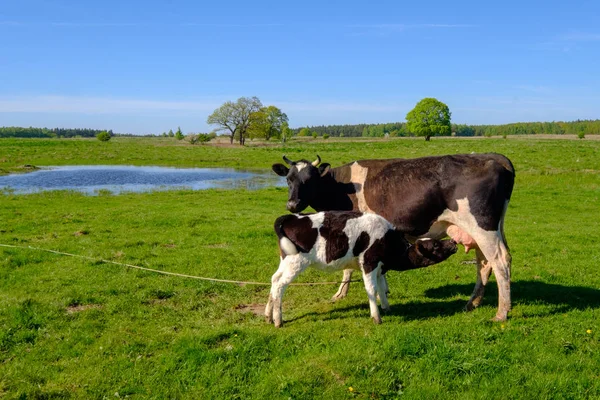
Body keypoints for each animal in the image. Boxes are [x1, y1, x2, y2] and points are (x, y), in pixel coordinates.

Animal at [264, 211, 458, 326]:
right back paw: (278, 320)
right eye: (435, 246)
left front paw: (386, 308)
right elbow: (371, 289)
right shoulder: (369, 262)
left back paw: (268, 315)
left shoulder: (380, 267)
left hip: (286, 259)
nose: (453, 242)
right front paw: (376, 317)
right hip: (296, 262)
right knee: (280, 286)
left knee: (273, 280)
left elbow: (381, 287)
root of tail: (292, 216)